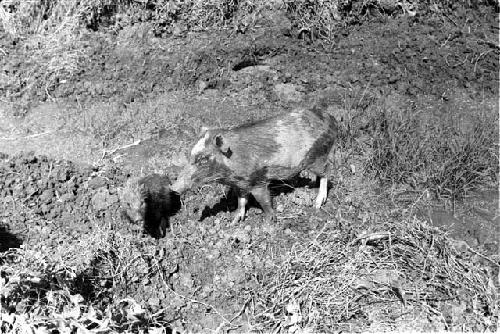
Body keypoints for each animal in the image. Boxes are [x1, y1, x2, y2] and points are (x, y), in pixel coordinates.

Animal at [172, 107, 340, 222]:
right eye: (190, 155)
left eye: (203, 160)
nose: (173, 188)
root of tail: (331, 119)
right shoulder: (241, 184)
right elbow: (241, 201)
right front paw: (234, 221)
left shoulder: (258, 180)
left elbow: (264, 201)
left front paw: (269, 221)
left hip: (317, 156)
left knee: (327, 173)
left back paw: (317, 204)